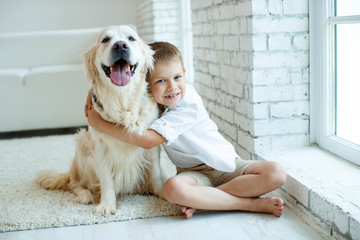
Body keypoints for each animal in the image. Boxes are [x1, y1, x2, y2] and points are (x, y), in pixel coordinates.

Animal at [36, 24, 166, 216]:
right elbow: (106, 180)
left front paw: (163, 193)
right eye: (105, 40)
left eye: (131, 38)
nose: (120, 46)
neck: (122, 99)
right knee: (74, 183)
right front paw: (107, 205)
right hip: (82, 143)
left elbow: (156, 172)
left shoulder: (151, 144)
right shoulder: (99, 148)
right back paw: (85, 195)